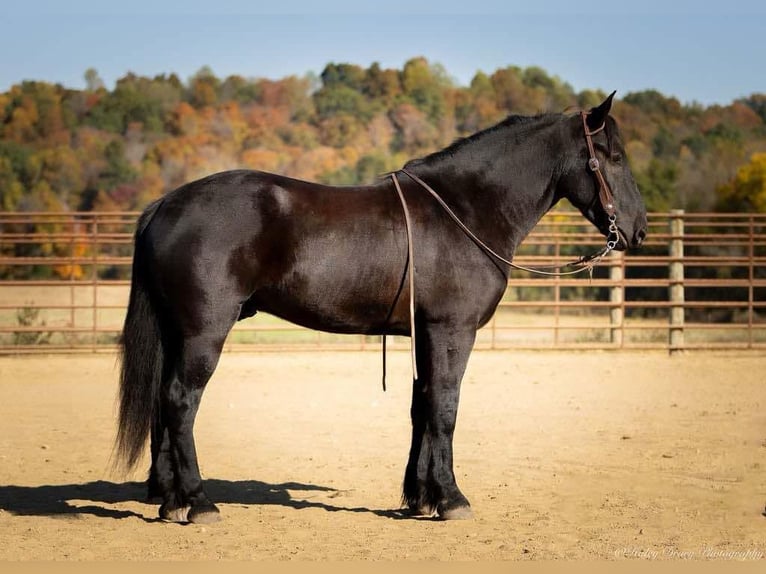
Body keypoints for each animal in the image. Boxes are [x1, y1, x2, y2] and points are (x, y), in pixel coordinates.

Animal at [115, 93, 648, 528]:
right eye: (613, 157)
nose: (638, 230)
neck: (464, 210)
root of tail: (166, 204)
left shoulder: (425, 334)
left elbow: (422, 407)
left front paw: (421, 497)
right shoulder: (452, 332)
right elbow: (446, 408)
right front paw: (452, 499)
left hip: (177, 333)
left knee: (165, 405)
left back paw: (172, 502)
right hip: (204, 332)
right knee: (181, 401)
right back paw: (199, 502)